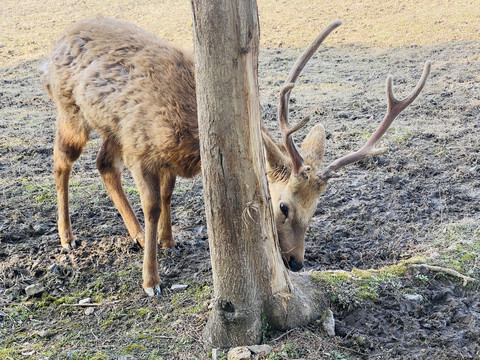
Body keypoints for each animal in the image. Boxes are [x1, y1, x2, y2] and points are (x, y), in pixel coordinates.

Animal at [41, 16, 432, 296]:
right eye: (283, 206)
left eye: (315, 210)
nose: (296, 262)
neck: (191, 133)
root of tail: (56, 43)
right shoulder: (140, 146)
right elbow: (152, 206)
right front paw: (151, 282)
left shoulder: (161, 157)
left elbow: (168, 196)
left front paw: (170, 241)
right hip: (72, 111)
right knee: (62, 162)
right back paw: (68, 237)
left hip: (108, 128)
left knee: (103, 164)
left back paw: (132, 235)